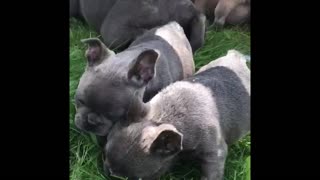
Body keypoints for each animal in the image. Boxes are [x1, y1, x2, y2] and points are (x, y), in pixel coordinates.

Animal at [104, 49, 251, 180]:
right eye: (104, 156)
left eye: (136, 179)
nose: (109, 173)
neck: (163, 118)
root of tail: (236, 56)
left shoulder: (215, 153)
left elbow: (211, 174)